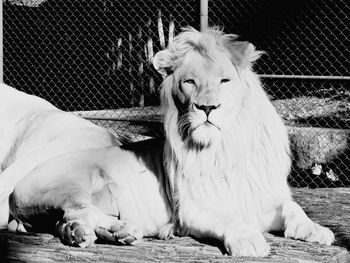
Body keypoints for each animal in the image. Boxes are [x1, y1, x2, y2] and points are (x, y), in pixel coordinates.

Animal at [0, 27, 334, 256]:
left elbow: (294, 208)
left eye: (225, 80)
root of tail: (18, 189)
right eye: (189, 82)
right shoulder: (191, 211)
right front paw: (249, 239)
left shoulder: (263, 197)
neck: (225, 147)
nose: (207, 107)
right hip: (72, 181)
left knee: (69, 219)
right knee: (77, 209)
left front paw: (317, 230)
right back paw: (119, 229)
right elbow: (228, 218)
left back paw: (88, 234)